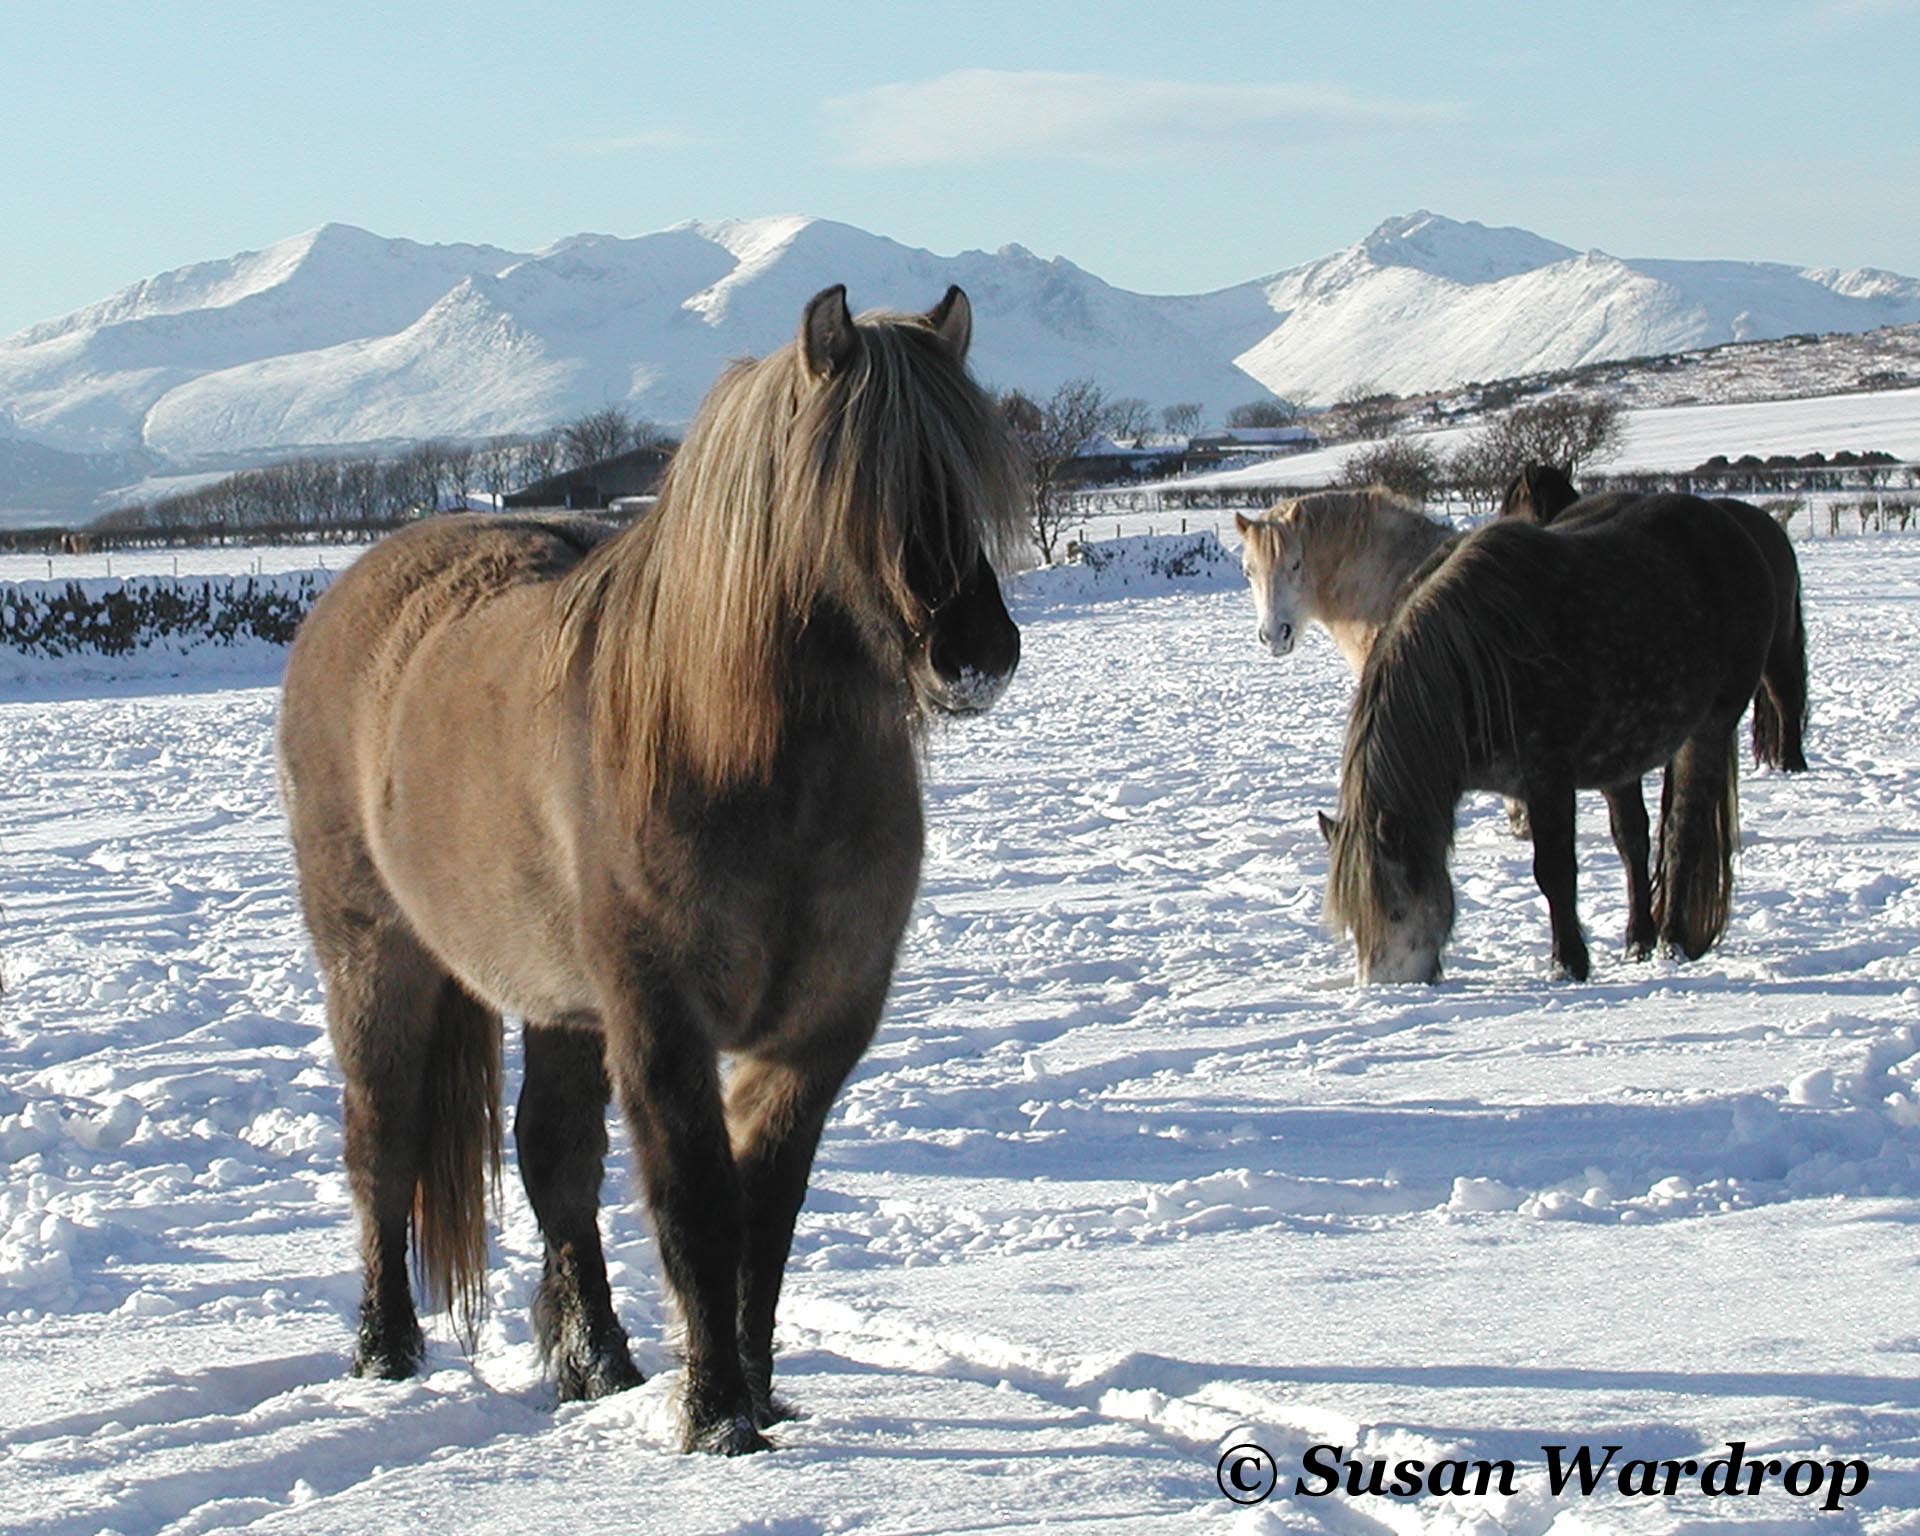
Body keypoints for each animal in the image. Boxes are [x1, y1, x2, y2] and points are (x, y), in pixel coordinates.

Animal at [278, 284, 1029, 1451]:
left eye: (967, 469)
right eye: (854, 481)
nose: (977, 654)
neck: (747, 759)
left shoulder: (817, 1036)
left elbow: (766, 1219)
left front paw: (756, 1396)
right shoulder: (661, 1023)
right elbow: (697, 1211)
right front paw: (718, 1421)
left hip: (559, 1002)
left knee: (553, 1163)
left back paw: (600, 1366)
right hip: (376, 959)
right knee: (382, 1148)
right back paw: (385, 1352)